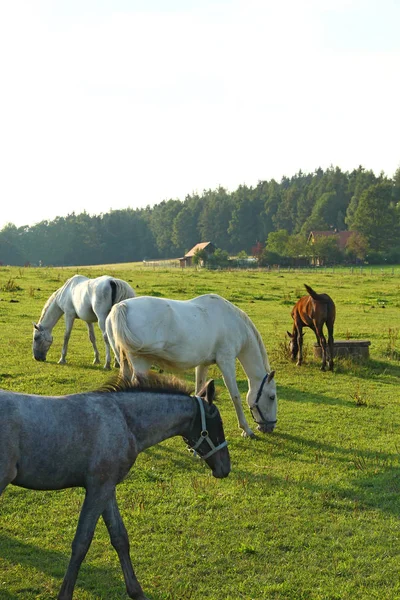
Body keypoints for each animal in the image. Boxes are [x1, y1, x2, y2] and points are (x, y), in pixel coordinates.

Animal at [0, 372, 230, 596]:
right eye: (218, 423)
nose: (225, 467)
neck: (124, 421)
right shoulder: (97, 489)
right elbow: (81, 543)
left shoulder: (107, 488)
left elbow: (120, 537)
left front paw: (136, 591)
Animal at [104, 292, 276, 438]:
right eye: (272, 397)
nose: (270, 427)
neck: (232, 321)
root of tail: (121, 306)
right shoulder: (226, 361)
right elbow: (235, 396)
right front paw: (246, 429)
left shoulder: (203, 364)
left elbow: (199, 389)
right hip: (141, 364)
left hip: (124, 362)